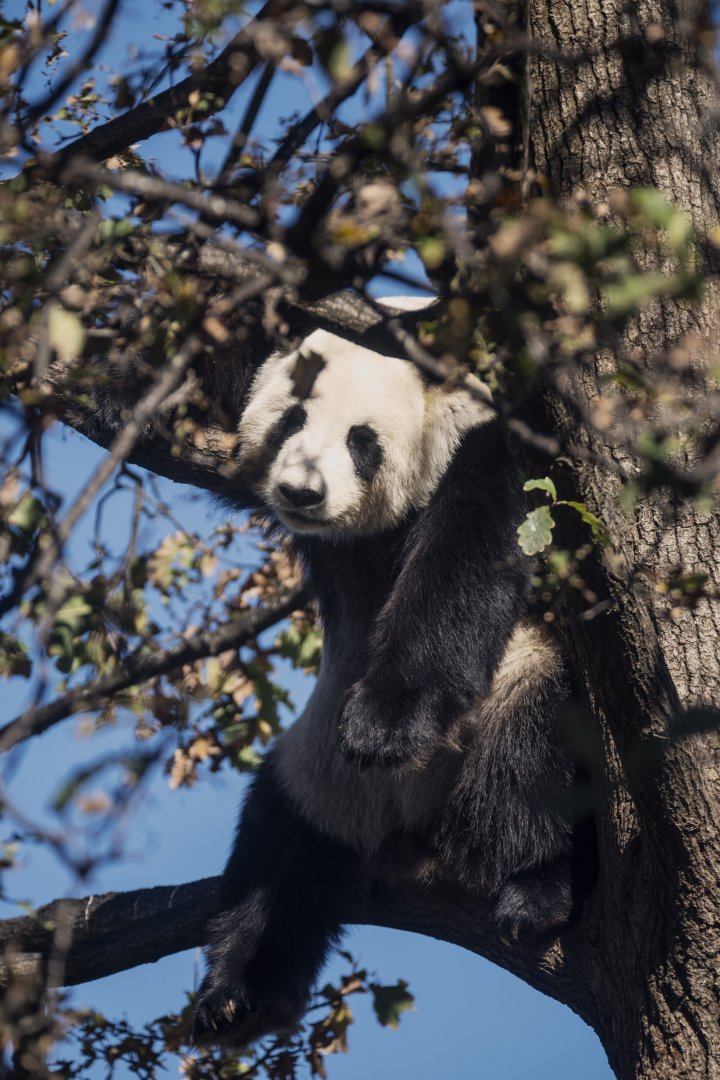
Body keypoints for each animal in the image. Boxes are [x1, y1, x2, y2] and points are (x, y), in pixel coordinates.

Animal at [193, 301, 577, 1046]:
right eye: (290, 419)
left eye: (360, 440)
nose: (300, 492)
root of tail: (404, 830)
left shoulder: (492, 447)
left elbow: (469, 562)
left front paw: (385, 724)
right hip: (313, 772)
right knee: (276, 854)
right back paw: (237, 992)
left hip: (518, 691)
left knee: (535, 755)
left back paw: (537, 890)